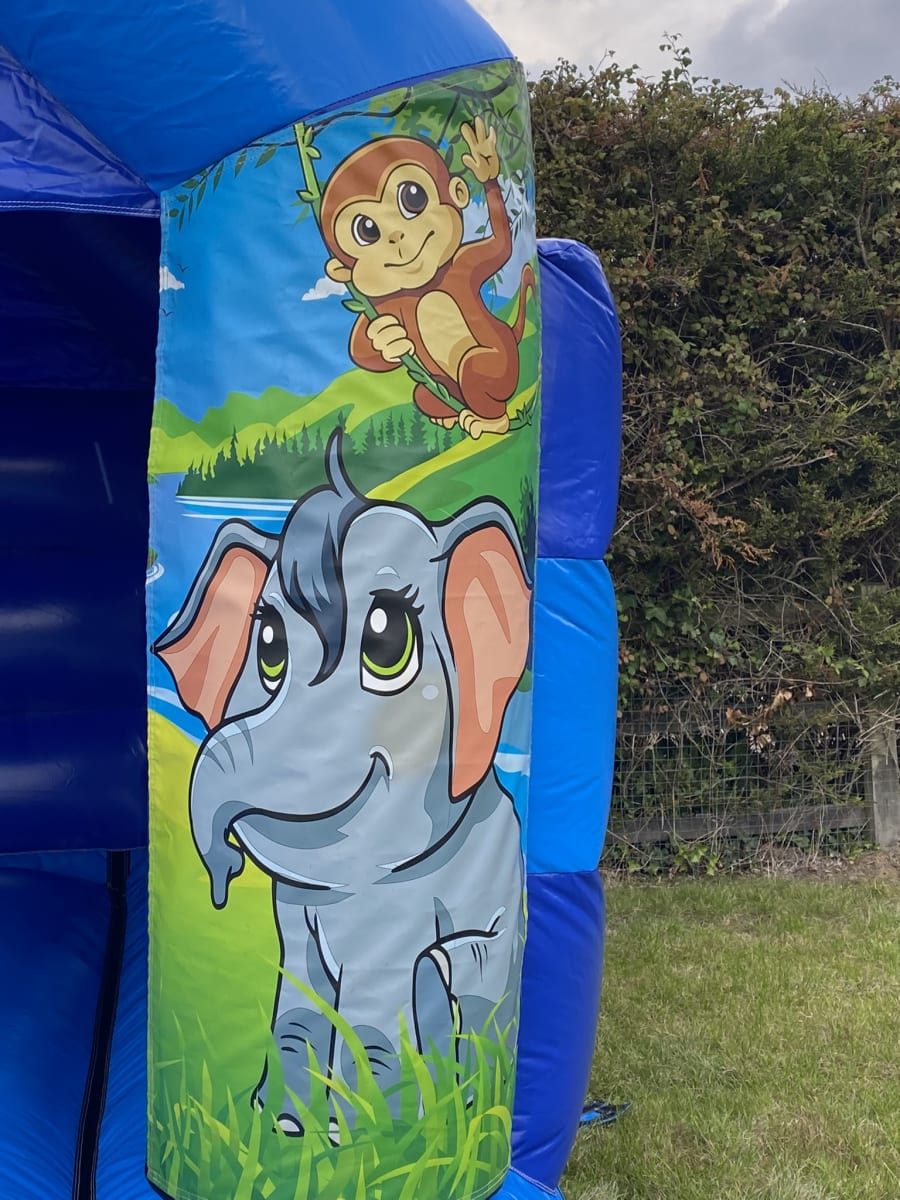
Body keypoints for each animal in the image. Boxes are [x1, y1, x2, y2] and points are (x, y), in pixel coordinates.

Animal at [319, 117, 535, 440]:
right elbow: (361, 349)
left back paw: (490, 422)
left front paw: (485, 162)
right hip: (434, 385)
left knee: (474, 369)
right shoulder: (391, 303)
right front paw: (387, 337)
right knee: (425, 393)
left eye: (413, 196)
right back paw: (446, 417)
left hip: (500, 367)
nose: (396, 236)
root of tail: (510, 334)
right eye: (366, 228)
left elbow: (501, 247)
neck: (426, 285)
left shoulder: (467, 261)